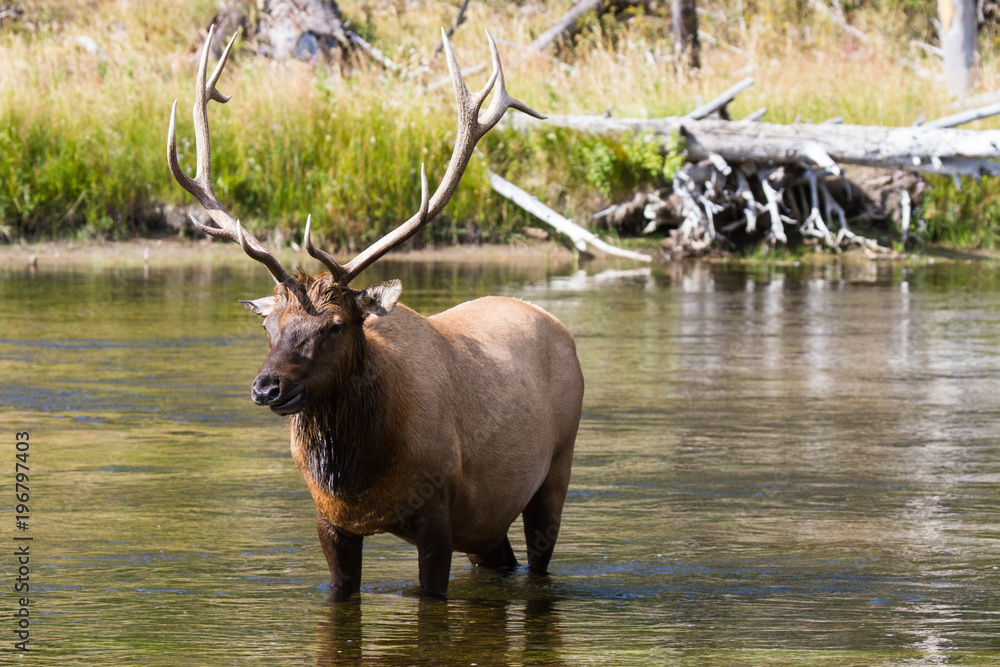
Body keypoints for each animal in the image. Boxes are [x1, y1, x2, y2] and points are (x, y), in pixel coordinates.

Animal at [166, 26, 584, 600]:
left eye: (336, 325)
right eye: (268, 325)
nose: (267, 387)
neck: (359, 479)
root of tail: (562, 330)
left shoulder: (438, 515)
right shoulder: (330, 521)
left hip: (554, 471)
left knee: (540, 557)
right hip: (486, 522)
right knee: (504, 559)